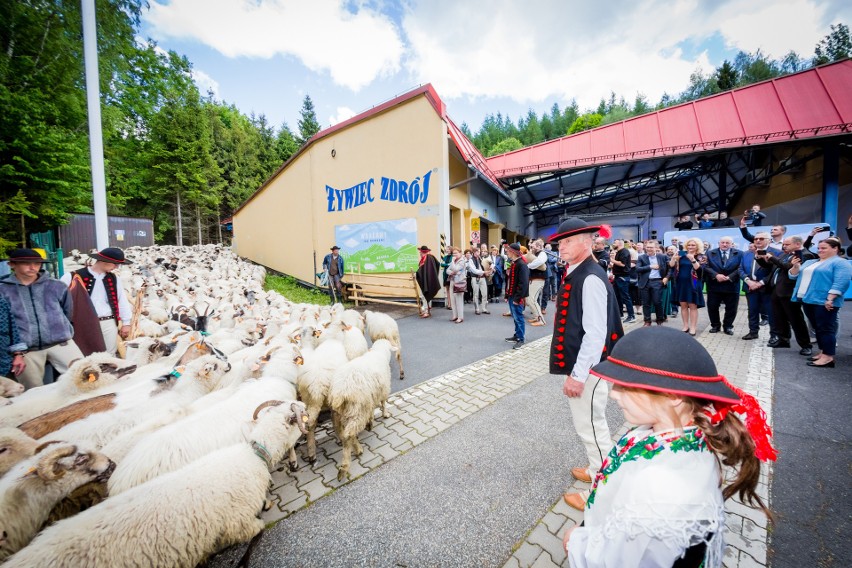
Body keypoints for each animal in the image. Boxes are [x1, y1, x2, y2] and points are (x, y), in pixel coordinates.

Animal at [328, 340, 394, 482]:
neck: (379, 353)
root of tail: (339, 392)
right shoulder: (383, 389)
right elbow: (383, 402)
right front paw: (384, 414)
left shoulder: (371, 396)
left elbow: (372, 409)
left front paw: (371, 421)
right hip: (357, 410)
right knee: (348, 435)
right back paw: (350, 459)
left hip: (339, 414)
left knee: (342, 432)